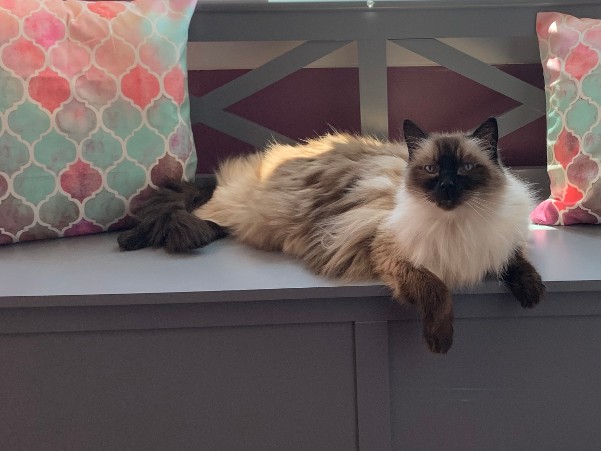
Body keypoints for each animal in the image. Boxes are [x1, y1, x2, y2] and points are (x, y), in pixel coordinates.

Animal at [117, 118, 544, 354]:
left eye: (467, 168)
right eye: (432, 170)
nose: (448, 189)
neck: (459, 225)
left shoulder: (496, 243)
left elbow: (516, 260)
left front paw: (531, 295)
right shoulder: (390, 254)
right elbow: (437, 291)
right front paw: (440, 342)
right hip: (243, 213)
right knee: (193, 206)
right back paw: (131, 239)